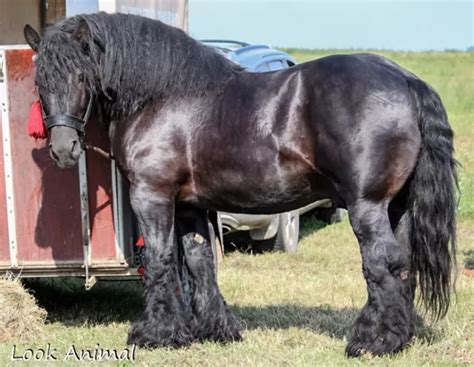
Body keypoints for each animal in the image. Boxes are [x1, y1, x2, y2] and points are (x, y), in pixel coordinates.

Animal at [24, 12, 458, 358]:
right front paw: (214, 329)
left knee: (382, 262)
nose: (63, 149)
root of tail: (405, 80)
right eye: (40, 81)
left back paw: (372, 341)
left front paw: (157, 334)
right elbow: (199, 261)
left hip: (367, 205)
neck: (162, 96)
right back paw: (400, 336)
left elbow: (161, 260)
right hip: (397, 207)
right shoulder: (191, 205)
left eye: (80, 75)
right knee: (404, 264)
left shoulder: (152, 197)